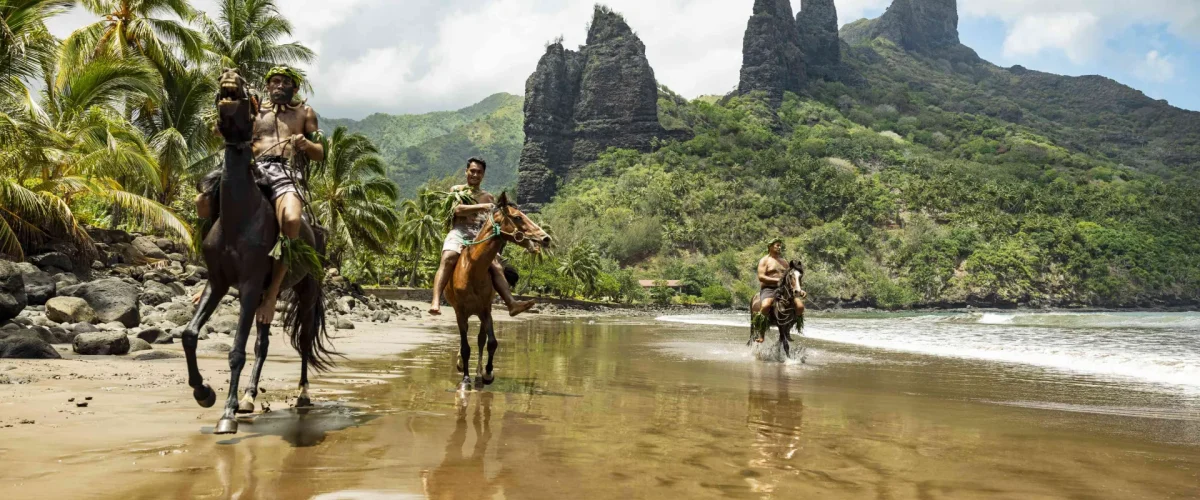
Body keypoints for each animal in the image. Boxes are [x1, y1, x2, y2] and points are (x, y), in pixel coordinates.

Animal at [175, 68, 333, 434]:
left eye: (250, 100)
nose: (230, 75)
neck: (240, 217)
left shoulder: (247, 286)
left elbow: (236, 351)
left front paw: (226, 414)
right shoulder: (218, 281)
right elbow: (189, 335)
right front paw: (204, 393)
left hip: (306, 290)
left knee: (304, 341)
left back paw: (302, 394)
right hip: (264, 296)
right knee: (263, 342)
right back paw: (247, 398)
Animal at [444, 193, 549, 390]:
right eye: (518, 217)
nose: (546, 238)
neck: (472, 270)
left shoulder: (486, 310)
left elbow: (491, 343)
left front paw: (487, 374)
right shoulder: (460, 312)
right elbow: (465, 347)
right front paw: (465, 379)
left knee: (480, 339)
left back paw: (478, 375)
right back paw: (463, 366)